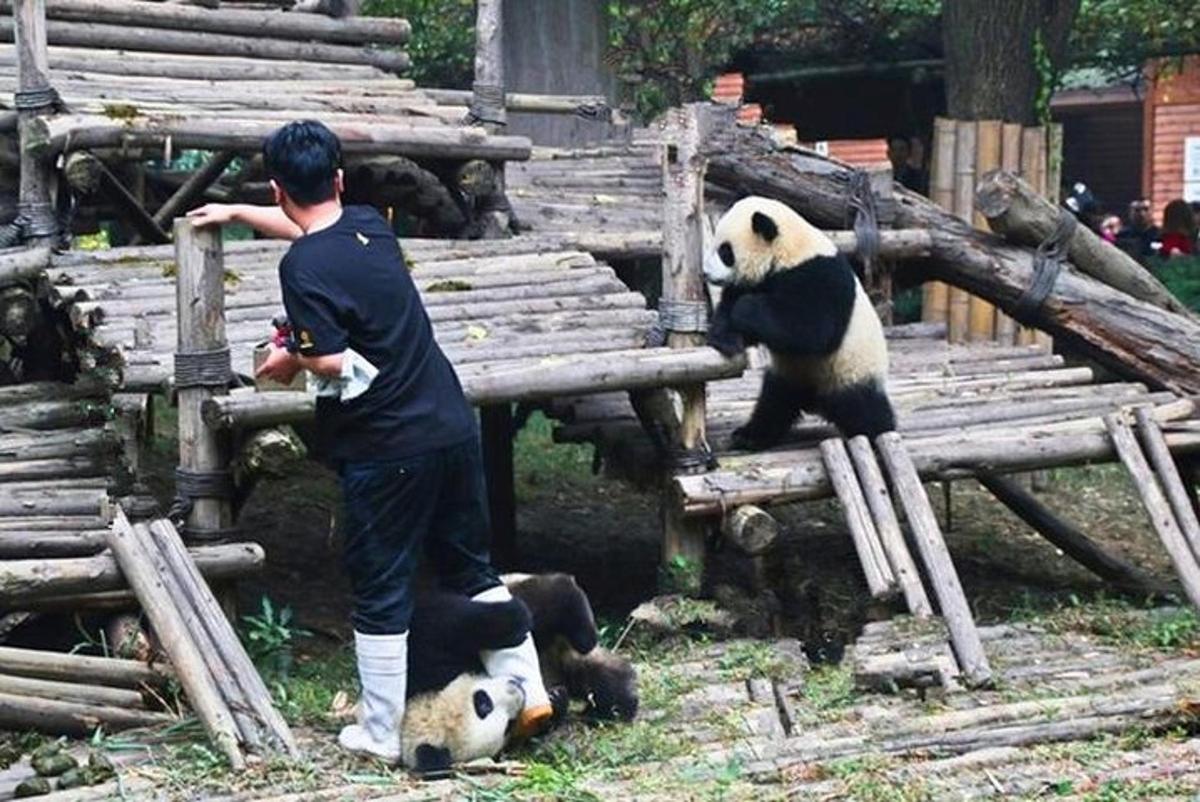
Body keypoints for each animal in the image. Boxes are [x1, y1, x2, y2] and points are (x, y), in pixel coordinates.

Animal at [403, 573, 638, 773]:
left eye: (482, 703)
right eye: (508, 726)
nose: (516, 690)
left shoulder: (423, 664)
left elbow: (440, 621)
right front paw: (556, 702)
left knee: (543, 601)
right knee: (597, 679)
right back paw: (610, 707)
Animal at [705, 195, 897, 451]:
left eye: (725, 251)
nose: (706, 273)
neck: (790, 251)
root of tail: (816, 401)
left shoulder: (818, 275)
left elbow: (813, 330)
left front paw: (745, 308)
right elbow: (728, 308)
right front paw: (726, 339)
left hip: (851, 370)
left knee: (866, 409)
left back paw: (880, 436)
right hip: (791, 374)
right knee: (774, 403)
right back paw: (748, 436)